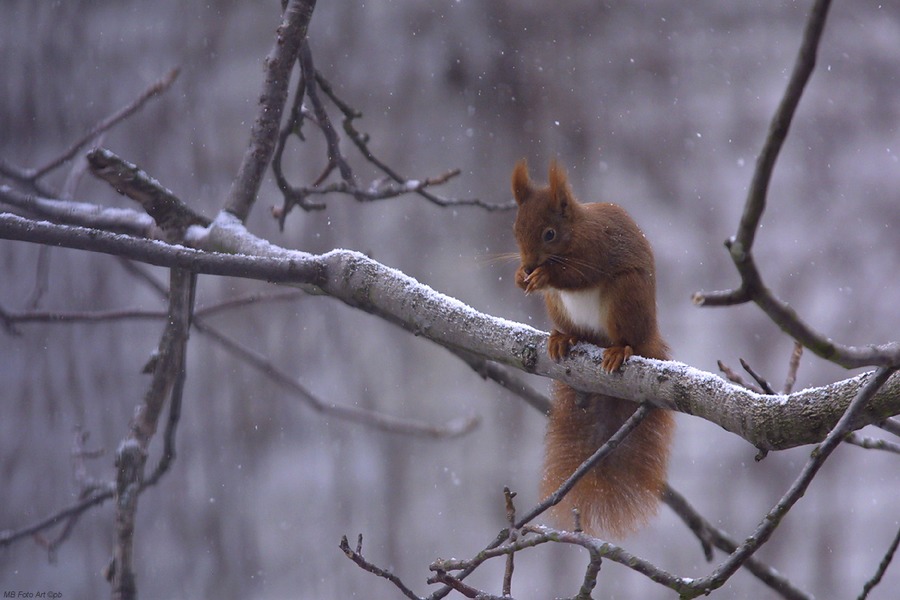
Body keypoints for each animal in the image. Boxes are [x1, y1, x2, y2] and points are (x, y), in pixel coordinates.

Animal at [510, 158, 672, 540]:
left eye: (549, 234)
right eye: (515, 229)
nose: (528, 265)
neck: (576, 232)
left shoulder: (595, 250)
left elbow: (576, 275)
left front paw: (543, 276)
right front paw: (520, 277)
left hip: (626, 296)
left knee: (627, 339)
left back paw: (619, 350)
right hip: (558, 308)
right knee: (577, 332)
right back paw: (563, 339)